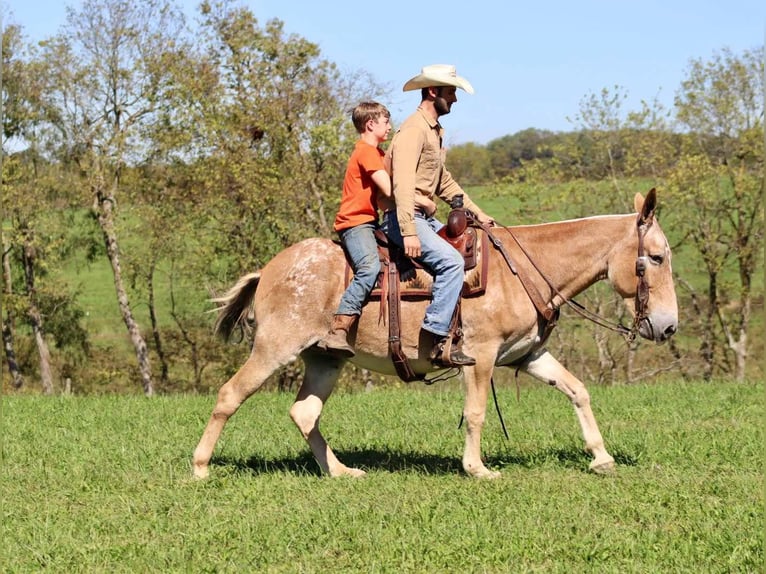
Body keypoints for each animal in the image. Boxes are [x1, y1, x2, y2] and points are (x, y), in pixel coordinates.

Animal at [192, 189, 678, 479]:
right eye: (655, 257)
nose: (669, 325)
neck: (522, 268)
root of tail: (269, 269)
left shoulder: (527, 356)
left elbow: (578, 391)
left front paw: (601, 457)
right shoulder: (480, 356)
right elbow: (476, 412)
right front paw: (477, 469)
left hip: (325, 358)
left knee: (305, 414)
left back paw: (341, 471)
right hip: (274, 349)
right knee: (229, 396)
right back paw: (200, 468)